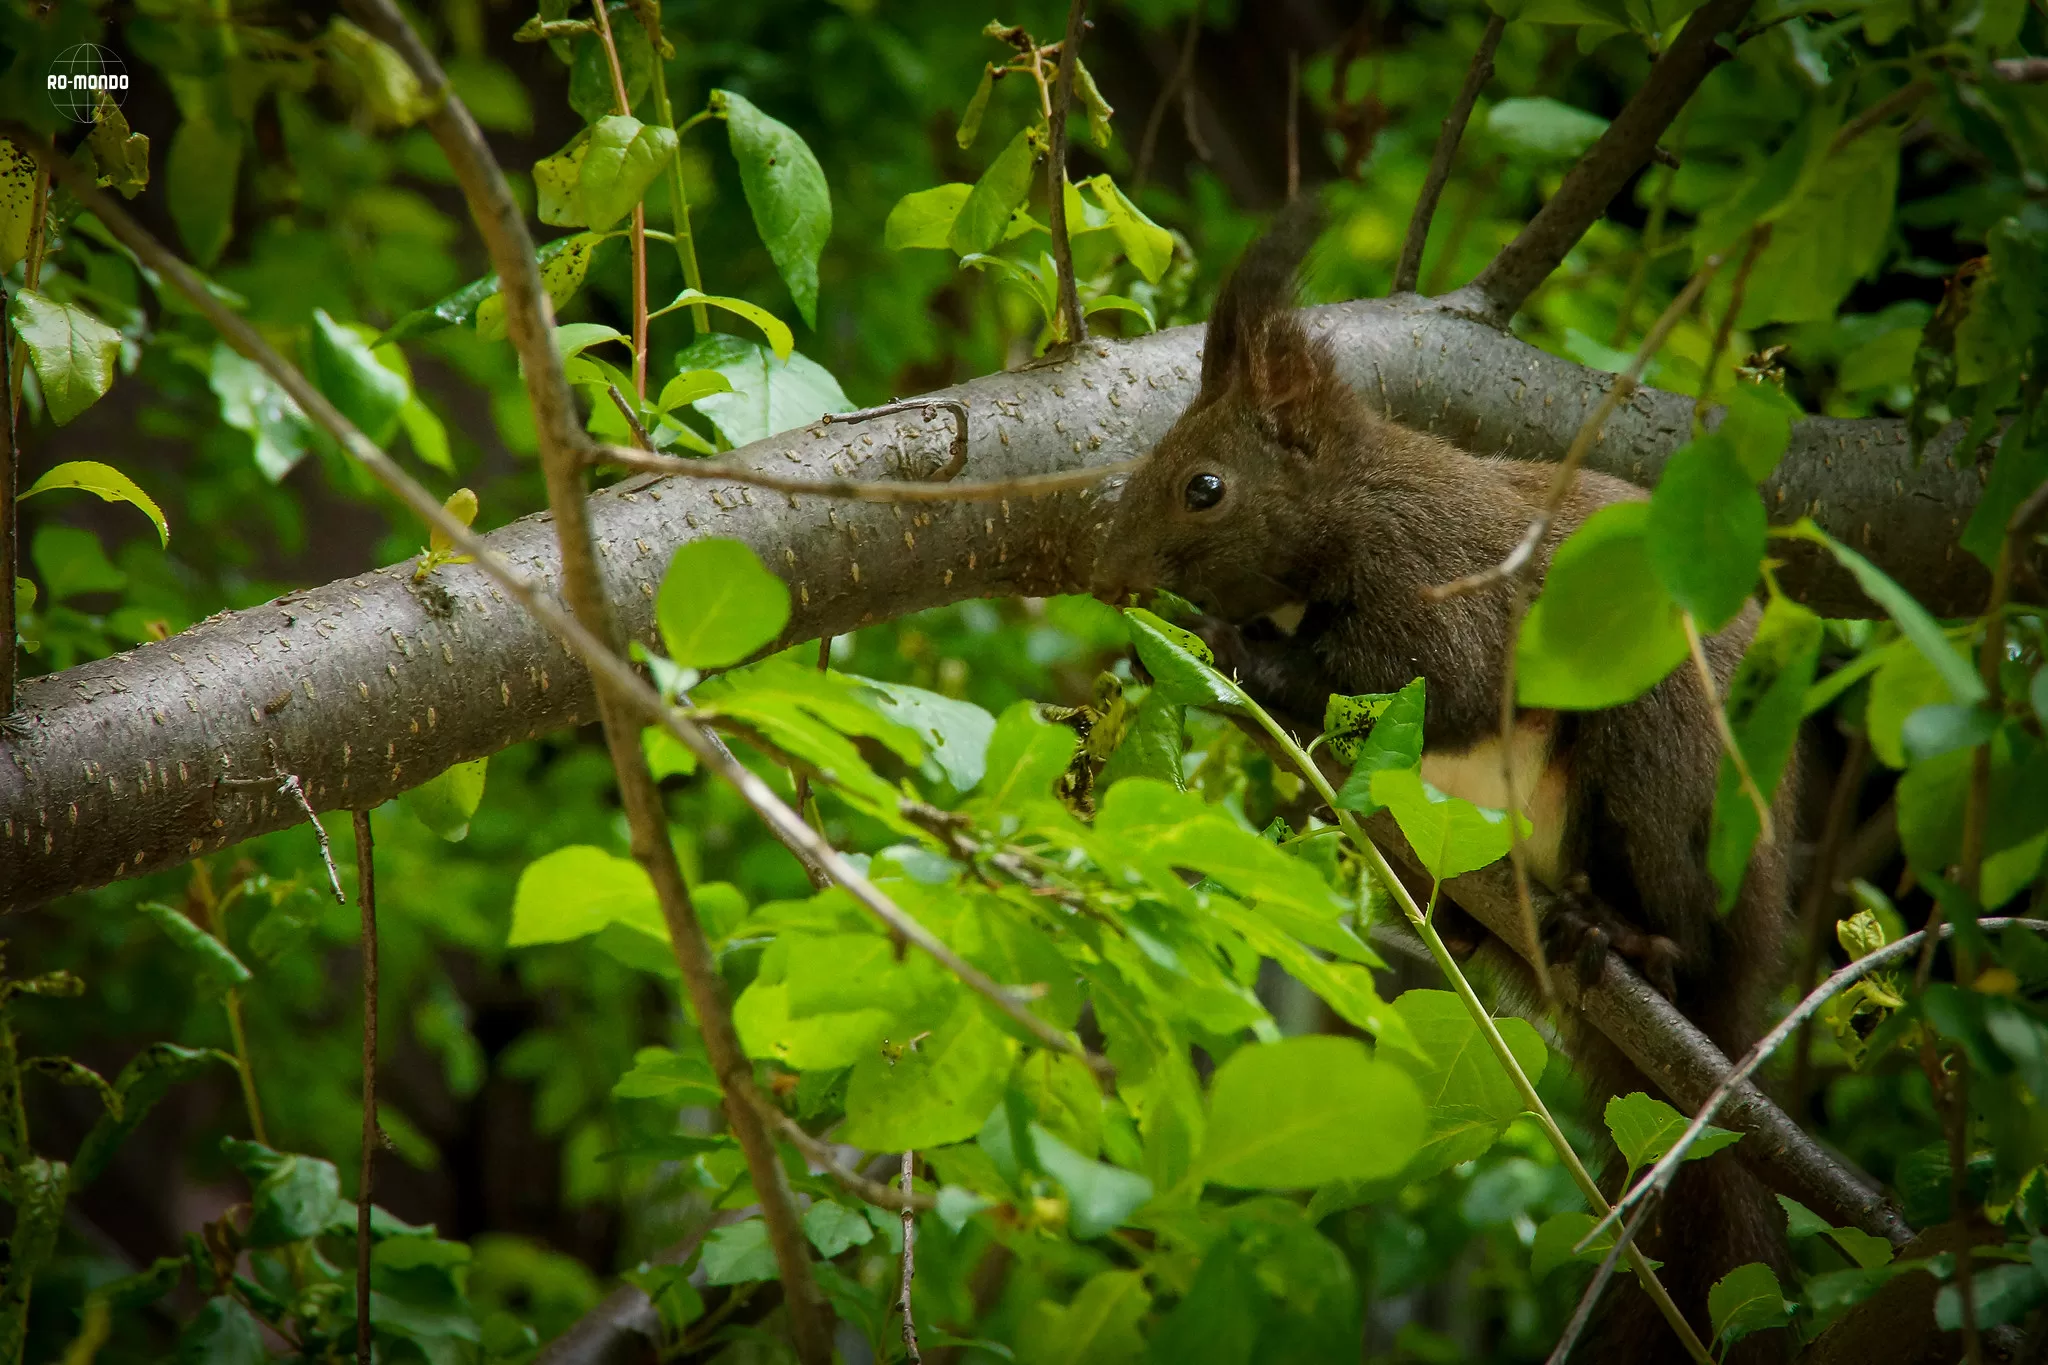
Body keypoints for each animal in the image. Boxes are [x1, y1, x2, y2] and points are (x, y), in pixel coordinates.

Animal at [1089, 197, 1794, 1358]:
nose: (1108, 574)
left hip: (1662, 761)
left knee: (1684, 926)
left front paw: (1247, 656)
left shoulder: (1441, 576)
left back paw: (1624, 937)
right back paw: (1466, 925)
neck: (1348, 502)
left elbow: (1439, 679)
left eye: (1204, 487)